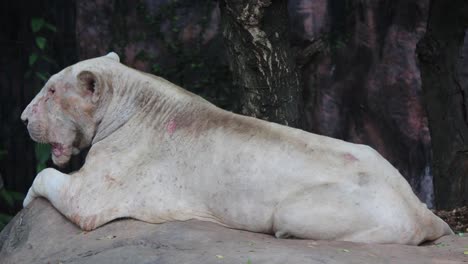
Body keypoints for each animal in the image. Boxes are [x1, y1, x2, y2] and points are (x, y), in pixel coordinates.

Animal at [21, 52, 454, 245]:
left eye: (51, 90)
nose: (24, 118)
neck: (129, 104)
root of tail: (424, 211)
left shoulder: (104, 187)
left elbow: (60, 187)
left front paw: (26, 199)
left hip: (312, 209)